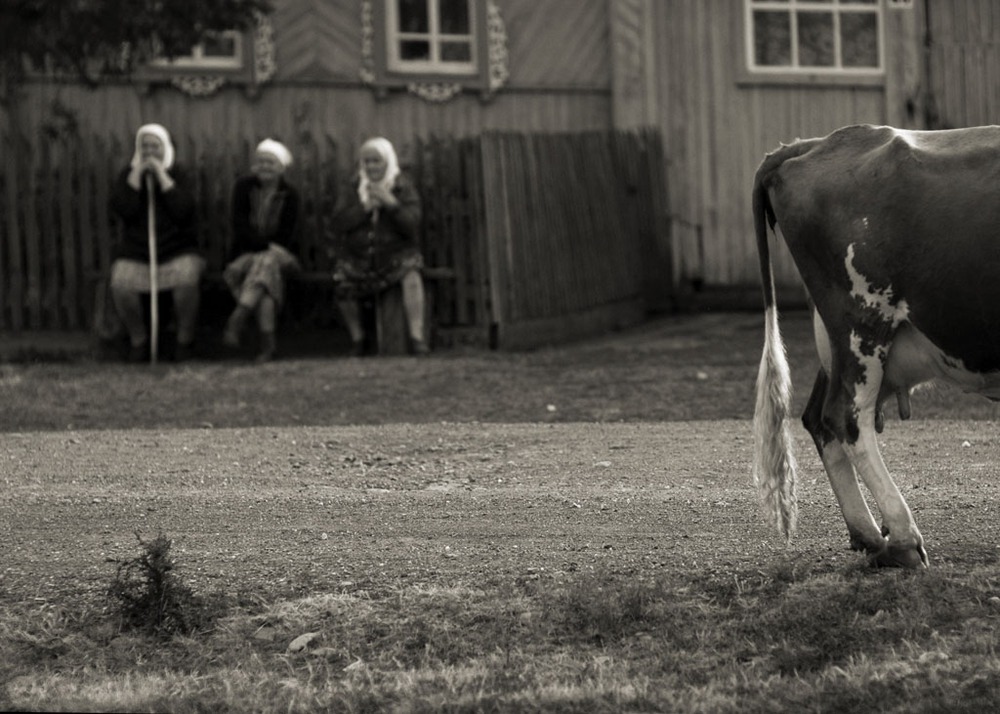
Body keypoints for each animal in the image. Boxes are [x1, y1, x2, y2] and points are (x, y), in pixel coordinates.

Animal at [752, 124, 1000, 568]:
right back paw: (902, 539)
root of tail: (816, 142)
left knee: (818, 418)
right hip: (862, 323)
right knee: (845, 416)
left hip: (839, 342)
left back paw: (868, 535)